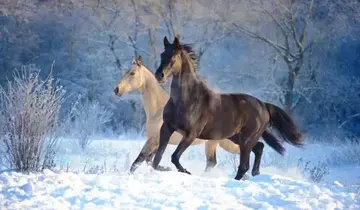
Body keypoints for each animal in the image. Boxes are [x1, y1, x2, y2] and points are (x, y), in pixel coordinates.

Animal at [152, 36, 304, 180]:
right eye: (162, 54)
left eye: (173, 56)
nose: (159, 75)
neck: (186, 99)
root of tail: (264, 106)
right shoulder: (166, 128)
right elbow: (157, 159)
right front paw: (164, 168)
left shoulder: (191, 134)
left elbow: (175, 157)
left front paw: (186, 171)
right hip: (237, 137)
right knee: (259, 149)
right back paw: (256, 173)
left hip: (246, 140)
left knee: (244, 165)